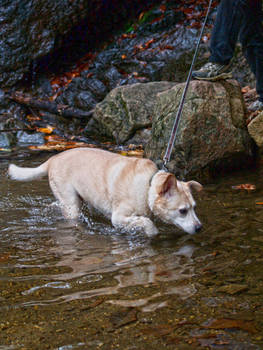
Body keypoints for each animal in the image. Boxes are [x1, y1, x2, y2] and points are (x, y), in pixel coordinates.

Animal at [7, 146, 202, 237]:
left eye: (194, 207)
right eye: (182, 211)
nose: (199, 228)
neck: (148, 186)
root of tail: (52, 159)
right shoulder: (118, 218)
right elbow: (146, 223)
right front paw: (152, 233)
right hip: (72, 204)